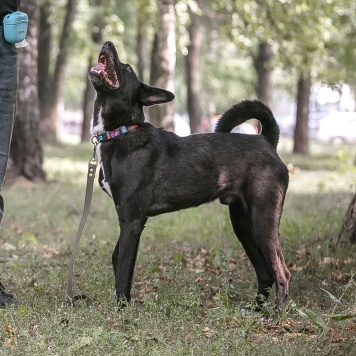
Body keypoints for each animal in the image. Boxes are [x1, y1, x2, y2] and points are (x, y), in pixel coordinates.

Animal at [89, 41, 292, 308]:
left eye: (128, 68)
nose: (108, 43)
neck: (122, 132)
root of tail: (266, 140)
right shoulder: (128, 217)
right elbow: (117, 256)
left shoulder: (132, 221)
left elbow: (123, 269)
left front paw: (121, 309)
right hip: (242, 224)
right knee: (266, 273)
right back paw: (255, 310)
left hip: (263, 220)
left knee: (282, 273)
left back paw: (277, 314)